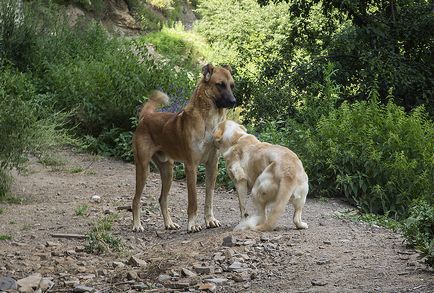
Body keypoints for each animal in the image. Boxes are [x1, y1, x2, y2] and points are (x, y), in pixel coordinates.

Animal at [131, 64, 236, 233]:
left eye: (232, 85)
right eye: (220, 85)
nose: (234, 101)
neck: (209, 120)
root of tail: (146, 117)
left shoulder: (212, 165)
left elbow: (209, 197)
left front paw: (210, 220)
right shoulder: (191, 166)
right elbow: (193, 200)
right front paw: (192, 224)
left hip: (168, 171)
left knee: (162, 199)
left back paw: (169, 223)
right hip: (143, 168)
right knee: (136, 199)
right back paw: (137, 224)